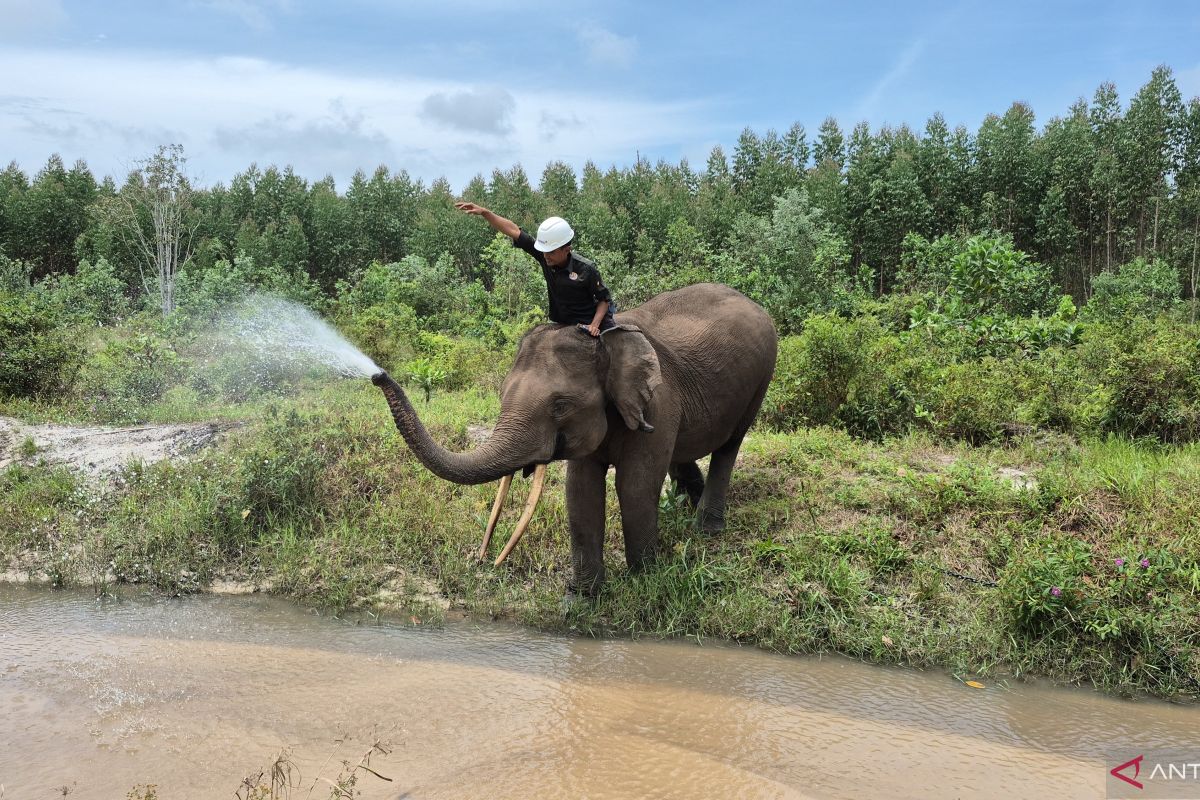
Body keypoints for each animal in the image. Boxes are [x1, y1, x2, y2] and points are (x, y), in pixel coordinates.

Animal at [372, 282, 778, 594]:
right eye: (502, 394)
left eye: (560, 406)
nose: (377, 375)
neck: (607, 345)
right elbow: (580, 489)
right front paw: (583, 596)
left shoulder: (658, 403)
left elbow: (634, 486)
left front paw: (645, 580)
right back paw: (685, 508)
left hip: (761, 379)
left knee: (729, 446)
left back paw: (705, 528)